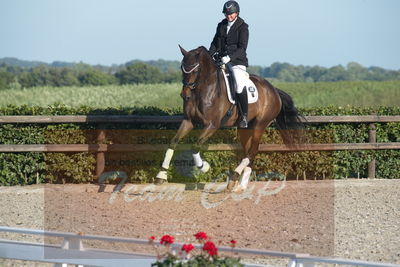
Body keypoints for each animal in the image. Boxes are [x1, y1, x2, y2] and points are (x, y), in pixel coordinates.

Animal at [154, 46, 304, 193]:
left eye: (195, 69)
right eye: (182, 68)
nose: (185, 95)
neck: (203, 90)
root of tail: (273, 89)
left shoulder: (212, 125)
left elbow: (195, 146)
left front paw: (204, 166)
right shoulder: (188, 121)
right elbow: (173, 142)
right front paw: (161, 176)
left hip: (260, 124)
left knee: (253, 150)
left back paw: (234, 178)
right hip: (245, 129)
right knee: (248, 151)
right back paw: (240, 185)